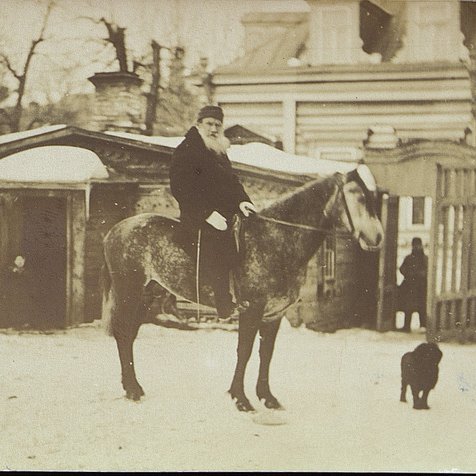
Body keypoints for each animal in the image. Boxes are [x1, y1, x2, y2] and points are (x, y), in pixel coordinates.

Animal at [103, 165, 384, 410]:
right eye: (358, 196)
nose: (378, 237)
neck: (276, 239)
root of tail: (115, 230)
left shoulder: (274, 314)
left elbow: (266, 354)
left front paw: (267, 397)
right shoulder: (252, 309)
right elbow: (245, 352)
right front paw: (241, 399)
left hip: (147, 294)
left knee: (129, 335)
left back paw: (133, 387)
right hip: (130, 292)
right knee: (123, 333)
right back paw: (132, 389)